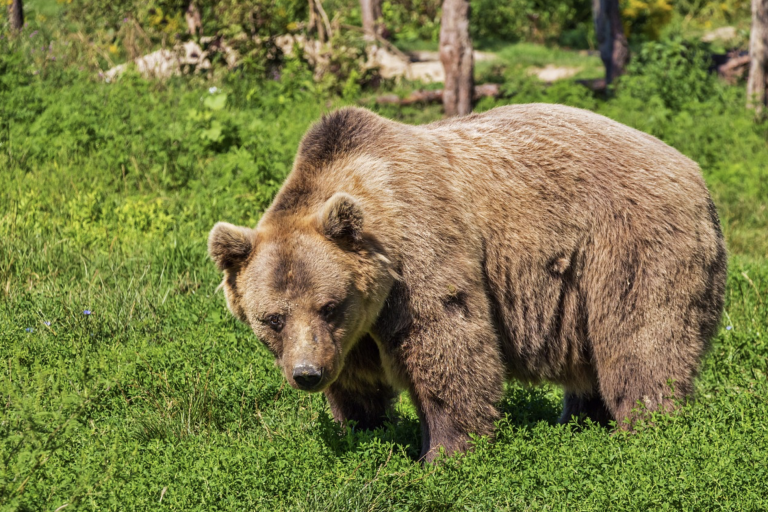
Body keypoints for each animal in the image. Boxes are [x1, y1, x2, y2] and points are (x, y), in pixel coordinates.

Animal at [208, 104, 727, 462]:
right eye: (272, 318)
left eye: (328, 305)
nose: (307, 374)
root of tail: (695, 172)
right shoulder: (354, 331)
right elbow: (358, 382)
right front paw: (363, 429)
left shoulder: (420, 254)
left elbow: (448, 346)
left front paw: (444, 453)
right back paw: (579, 421)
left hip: (629, 246)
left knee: (641, 341)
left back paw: (645, 429)